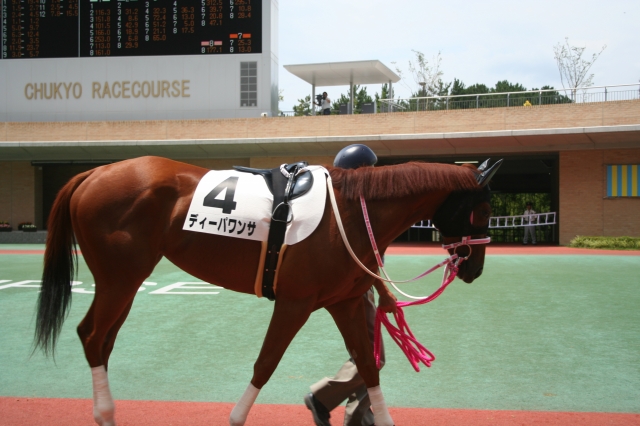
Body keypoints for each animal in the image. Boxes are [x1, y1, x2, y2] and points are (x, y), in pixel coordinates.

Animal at [33, 155, 501, 426]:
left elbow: (367, 368)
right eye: (483, 208)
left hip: (124, 283)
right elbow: (266, 363)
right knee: (93, 336)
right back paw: (105, 412)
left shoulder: (347, 304)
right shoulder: (295, 303)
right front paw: (237, 416)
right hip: (120, 277)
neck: (350, 213)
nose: (476, 269)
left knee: (101, 340)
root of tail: (94, 172)